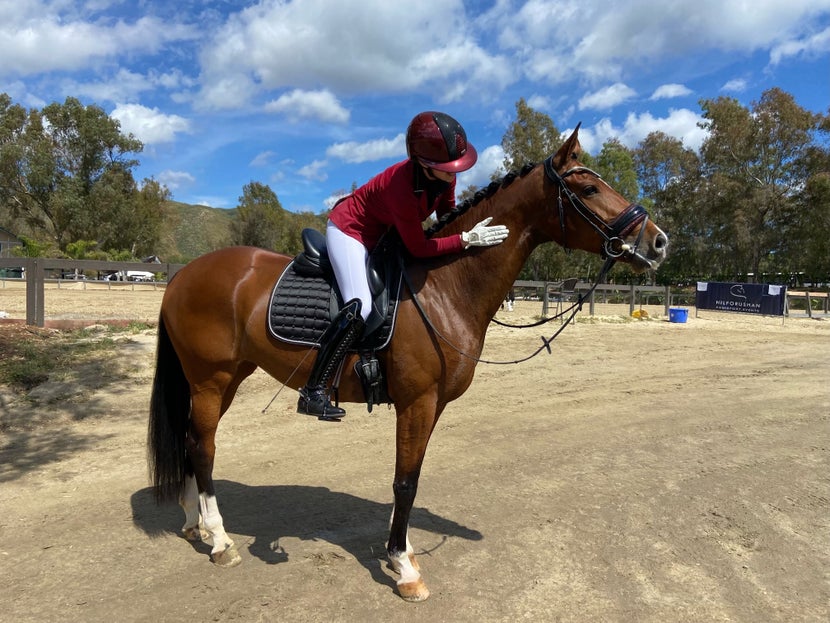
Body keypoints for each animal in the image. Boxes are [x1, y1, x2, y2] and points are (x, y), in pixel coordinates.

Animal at [148, 125, 668, 600]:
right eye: (589, 189)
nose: (659, 242)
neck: (445, 287)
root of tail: (183, 274)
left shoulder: (432, 405)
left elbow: (411, 478)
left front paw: (403, 552)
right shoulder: (416, 402)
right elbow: (404, 483)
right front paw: (404, 568)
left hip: (227, 376)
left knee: (193, 442)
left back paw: (196, 524)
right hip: (211, 378)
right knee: (203, 447)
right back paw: (220, 540)